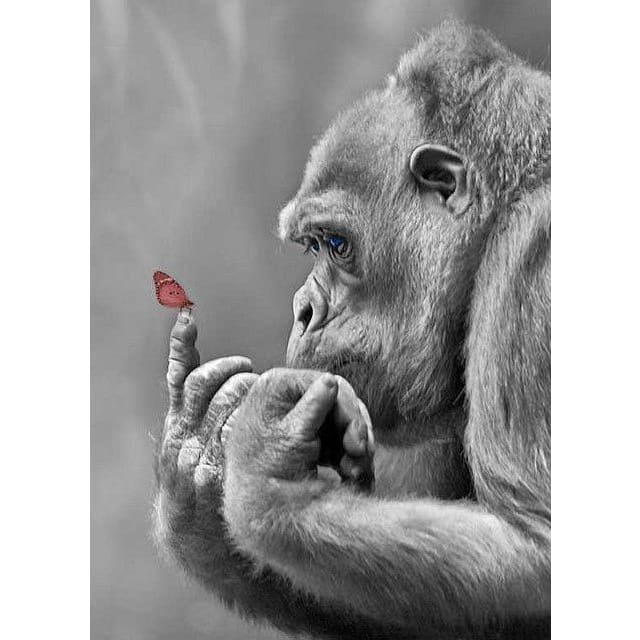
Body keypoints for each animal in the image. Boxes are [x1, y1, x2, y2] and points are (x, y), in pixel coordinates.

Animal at [153, 20, 550, 640]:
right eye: (311, 247)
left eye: (337, 244)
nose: (304, 310)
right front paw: (195, 463)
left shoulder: (534, 252)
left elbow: (535, 549)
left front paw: (270, 481)